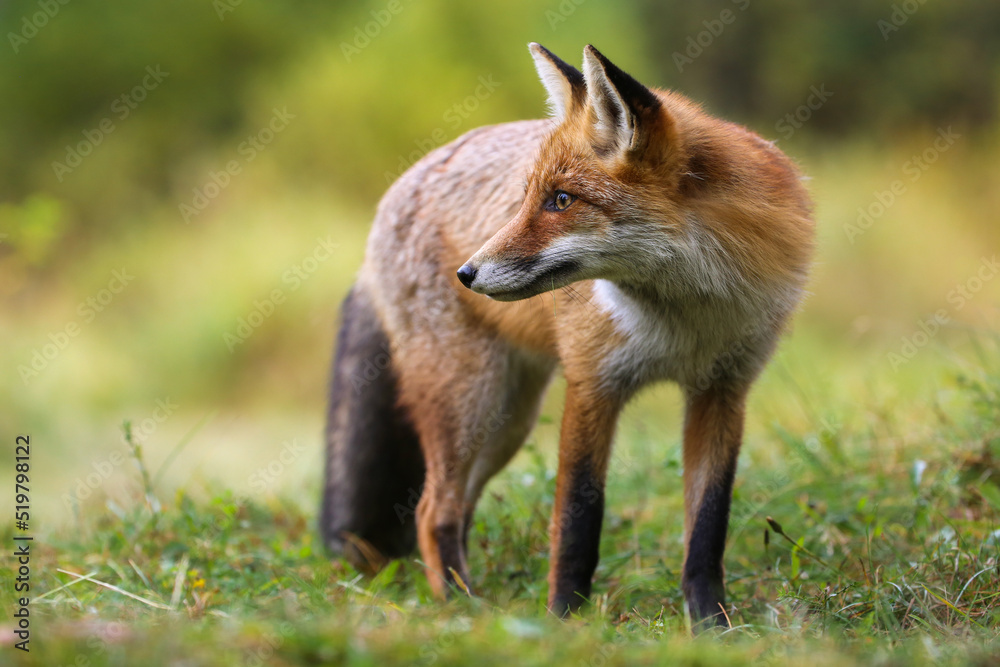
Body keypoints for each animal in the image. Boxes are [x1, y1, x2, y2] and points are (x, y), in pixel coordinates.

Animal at [320, 44, 812, 628]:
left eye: (560, 200)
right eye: (527, 197)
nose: (466, 273)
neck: (684, 319)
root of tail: (398, 188)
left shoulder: (723, 391)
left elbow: (708, 526)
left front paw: (712, 622)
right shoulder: (592, 383)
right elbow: (579, 520)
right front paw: (564, 620)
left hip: (506, 421)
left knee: (454, 507)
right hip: (470, 402)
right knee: (430, 509)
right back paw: (462, 610)